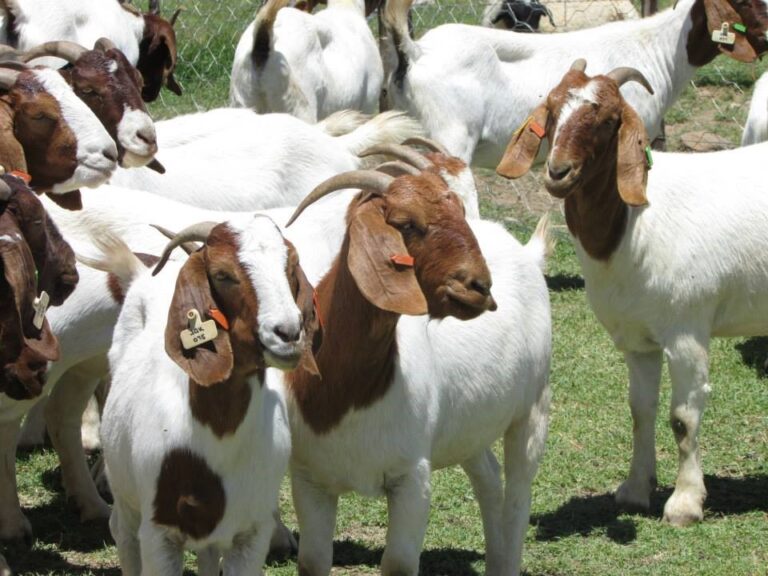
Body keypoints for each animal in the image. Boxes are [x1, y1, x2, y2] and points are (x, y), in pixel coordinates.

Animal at [83, 216, 320, 575]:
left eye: (291, 266)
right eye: (222, 274)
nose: (289, 333)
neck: (217, 440)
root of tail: (142, 274)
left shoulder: (252, 533)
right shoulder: (159, 532)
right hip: (124, 492)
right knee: (121, 532)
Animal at [276, 169, 551, 576]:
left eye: (460, 212)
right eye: (407, 224)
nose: (480, 286)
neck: (351, 393)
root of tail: (527, 253)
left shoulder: (412, 476)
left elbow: (400, 563)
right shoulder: (310, 478)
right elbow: (312, 561)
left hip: (533, 407)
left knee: (519, 493)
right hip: (467, 424)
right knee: (488, 476)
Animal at [497, 59, 768, 527]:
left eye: (608, 120)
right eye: (552, 109)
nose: (558, 172)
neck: (633, 223)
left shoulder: (686, 332)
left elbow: (683, 418)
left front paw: (685, 503)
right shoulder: (638, 340)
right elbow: (641, 411)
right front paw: (635, 491)